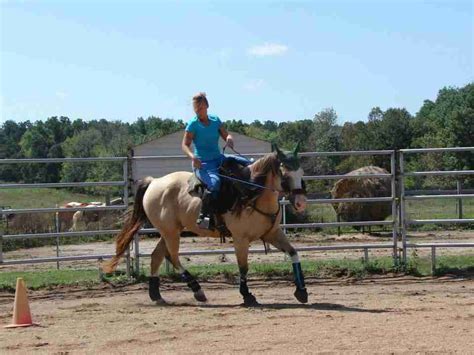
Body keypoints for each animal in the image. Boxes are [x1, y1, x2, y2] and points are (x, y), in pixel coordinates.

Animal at [104, 143, 310, 308]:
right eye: (285, 174)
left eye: (301, 173)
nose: (300, 203)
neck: (251, 193)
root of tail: (154, 182)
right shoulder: (240, 239)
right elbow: (243, 267)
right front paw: (247, 295)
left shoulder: (273, 233)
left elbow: (294, 253)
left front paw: (301, 291)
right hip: (171, 232)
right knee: (174, 257)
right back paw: (198, 291)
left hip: (170, 231)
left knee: (157, 257)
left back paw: (156, 295)